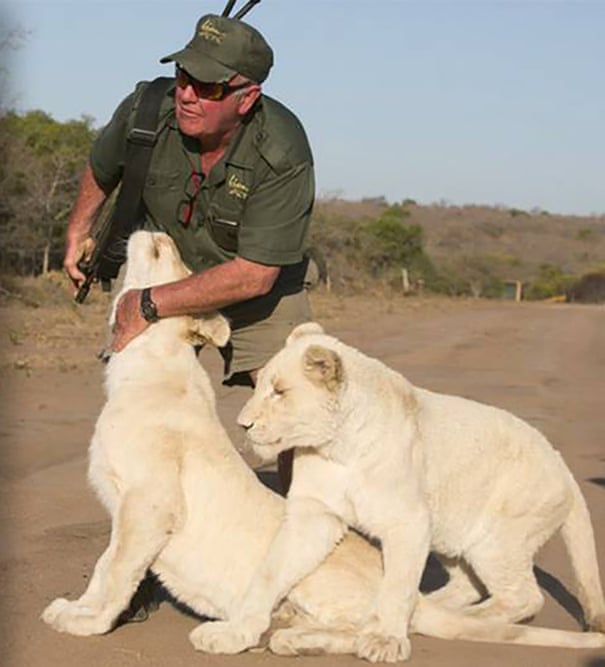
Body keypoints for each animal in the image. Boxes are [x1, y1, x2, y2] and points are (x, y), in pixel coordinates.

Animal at [193, 321, 605, 660]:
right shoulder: (314, 514)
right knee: (465, 584)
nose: (243, 423)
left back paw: (465, 619)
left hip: (500, 538)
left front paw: (385, 640)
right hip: (452, 534)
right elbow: (270, 571)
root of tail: (563, 465)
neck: (338, 445)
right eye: (261, 386)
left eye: (279, 391)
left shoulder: (408, 520)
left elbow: (398, 583)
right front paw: (234, 632)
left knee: (523, 595)